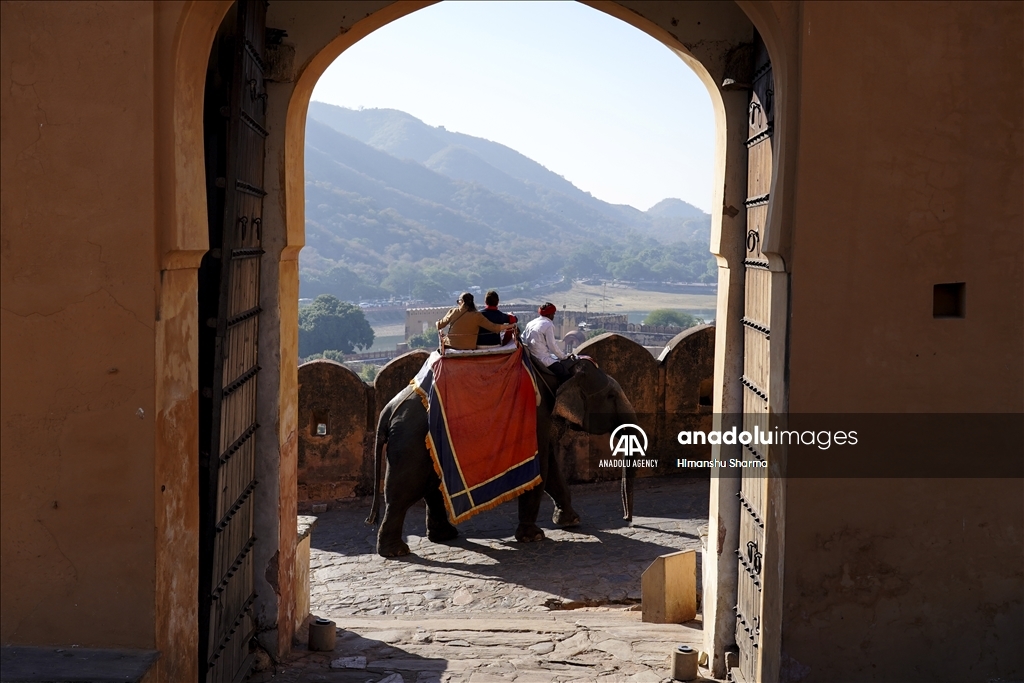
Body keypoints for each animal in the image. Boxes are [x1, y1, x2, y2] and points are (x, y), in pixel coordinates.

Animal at [364, 356, 634, 557]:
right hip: (410, 444)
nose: (627, 519)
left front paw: (570, 522)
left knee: (431, 487)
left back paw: (444, 536)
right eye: (611, 396)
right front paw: (534, 537)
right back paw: (396, 551)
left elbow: (552, 468)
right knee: (402, 494)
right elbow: (541, 468)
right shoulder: (536, 413)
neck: (559, 371)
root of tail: (387, 411)